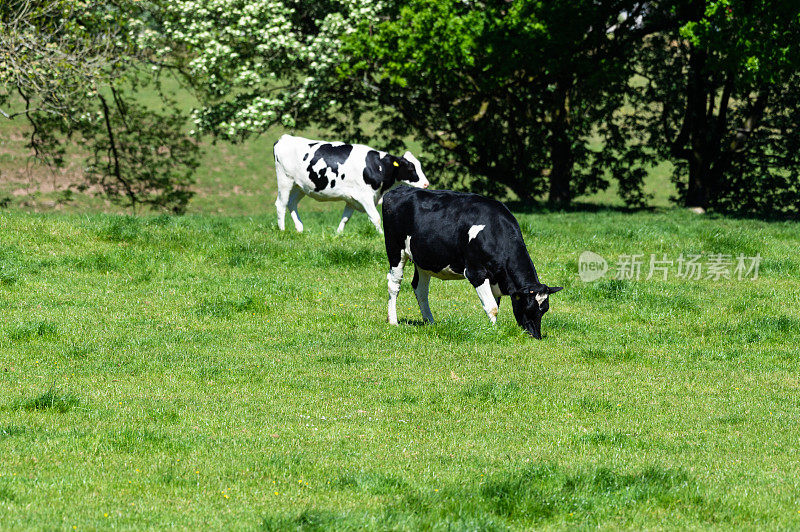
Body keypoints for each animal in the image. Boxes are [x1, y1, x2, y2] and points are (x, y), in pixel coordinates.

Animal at [272, 134, 428, 234]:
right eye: (411, 168)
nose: (426, 184)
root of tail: (284, 138)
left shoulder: (352, 198)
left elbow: (345, 218)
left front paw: (338, 234)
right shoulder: (365, 196)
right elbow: (376, 218)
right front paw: (381, 235)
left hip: (301, 186)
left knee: (291, 202)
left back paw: (299, 228)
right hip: (285, 179)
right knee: (281, 204)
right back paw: (283, 230)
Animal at [382, 185, 564, 338]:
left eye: (544, 309)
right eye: (528, 307)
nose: (536, 336)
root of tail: (399, 189)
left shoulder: (495, 278)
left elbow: (495, 304)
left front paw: (491, 327)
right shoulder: (476, 273)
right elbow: (492, 307)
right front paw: (494, 331)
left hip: (424, 260)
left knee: (420, 289)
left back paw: (430, 321)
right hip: (395, 250)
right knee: (394, 284)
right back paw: (393, 321)